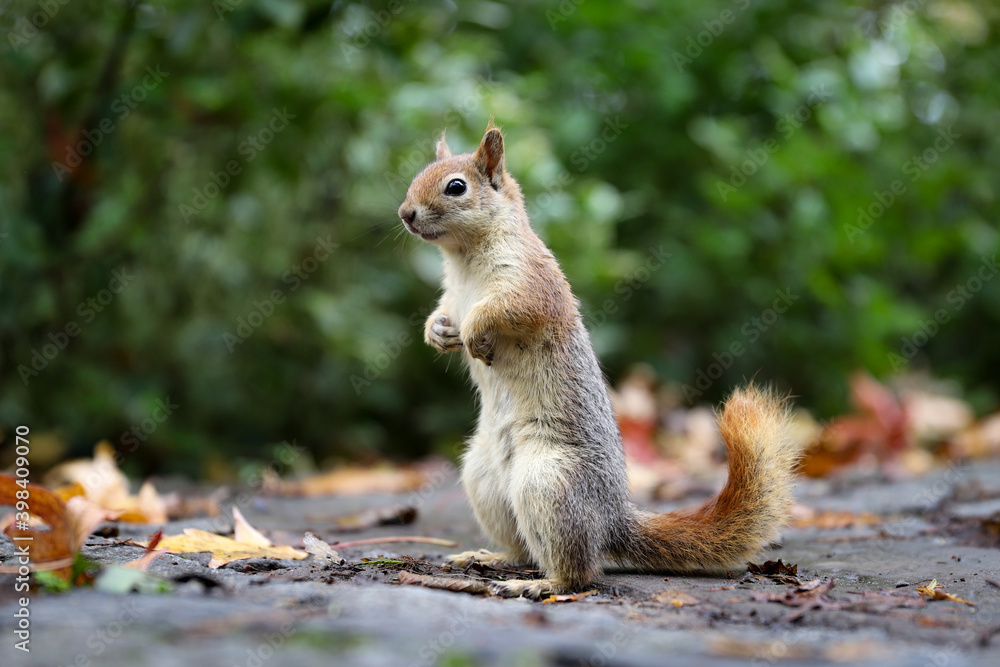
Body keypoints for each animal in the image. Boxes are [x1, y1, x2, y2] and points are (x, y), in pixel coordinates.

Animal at [398, 122, 802, 599]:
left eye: (456, 187)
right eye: (419, 173)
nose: (405, 213)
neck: (462, 259)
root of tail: (612, 521)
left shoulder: (532, 285)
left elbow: (508, 310)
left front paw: (476, 332)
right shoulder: (451, 296)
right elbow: (442, 313)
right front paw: (437, 333)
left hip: (547, 483)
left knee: (582, 571)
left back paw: (542, 584)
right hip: (486, 483)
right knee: (522, 548)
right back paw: (491, 557)